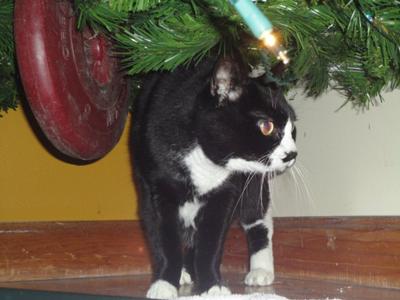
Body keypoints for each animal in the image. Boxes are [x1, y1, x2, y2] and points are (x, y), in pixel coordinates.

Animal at [131, 55, 296, 298]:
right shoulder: (154, 187)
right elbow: (163, 235)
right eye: (266, 126)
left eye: (293, 130)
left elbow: (211, 239)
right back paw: (184, 271)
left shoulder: (225, 193)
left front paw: (212, 286)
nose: (292, 154)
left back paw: (260, 270)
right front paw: (164, 282)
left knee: (257, 218)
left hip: (253, 185)